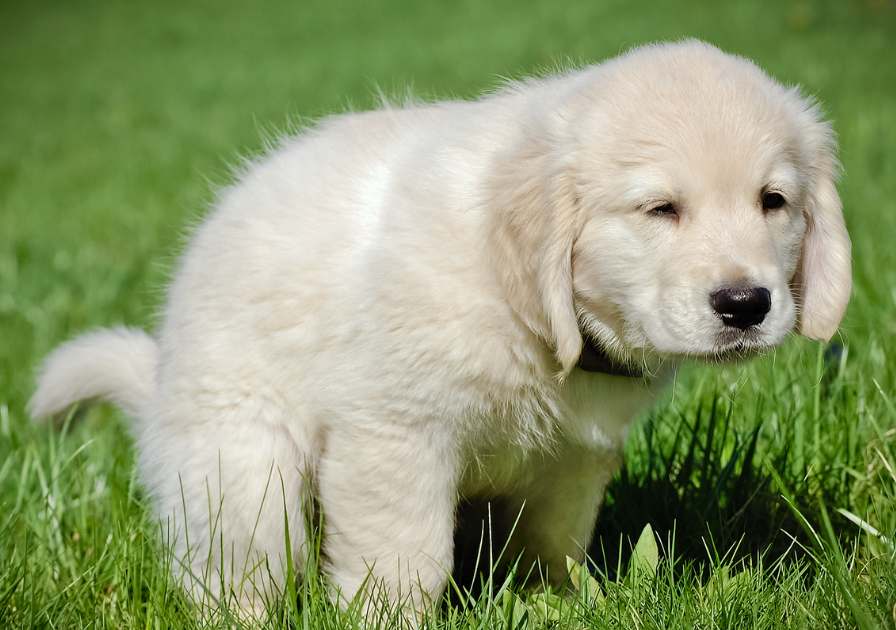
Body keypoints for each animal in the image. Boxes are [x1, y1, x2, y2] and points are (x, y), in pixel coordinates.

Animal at [29, 40, 856, 624]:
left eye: (773, 201)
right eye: (660, 209)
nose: (746, 304)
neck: (529, 311)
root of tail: (159, 388)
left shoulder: (573, 461)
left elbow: (554, 548)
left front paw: (560, 605)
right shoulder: (394, 437)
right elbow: (403, 559)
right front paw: (389, 615)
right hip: (241, 470)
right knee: (235, 569)